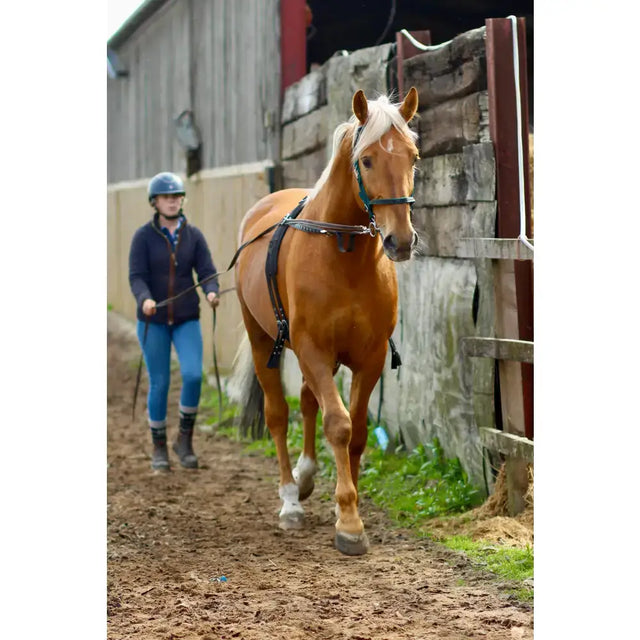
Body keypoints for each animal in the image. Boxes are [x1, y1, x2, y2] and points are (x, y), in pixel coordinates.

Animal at [232, 87, 420, 555]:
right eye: (367, 159)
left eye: (413, 157)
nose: (401, 241)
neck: (343, 253)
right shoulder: (313, 350)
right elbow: (338, 424)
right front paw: (349, 522)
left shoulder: (368, 357)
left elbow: (357, 432)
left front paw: (346, 504)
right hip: (263, 340)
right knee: (279, 412)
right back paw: (289, 501)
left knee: (306, 401)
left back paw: (304, 477)